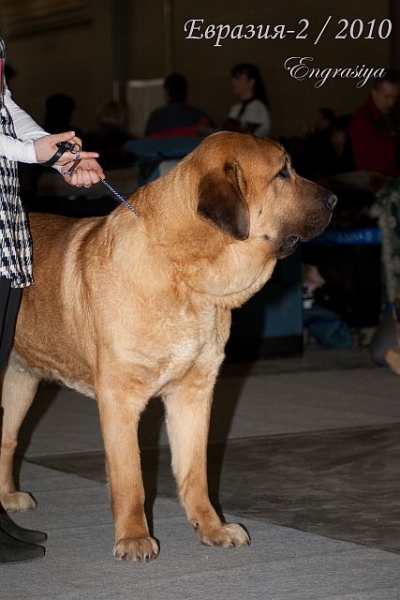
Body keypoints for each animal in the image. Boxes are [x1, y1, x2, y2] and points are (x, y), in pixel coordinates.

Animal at [0, 132, 336, 564]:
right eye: (283, 172)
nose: (334, 199)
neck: (182, 271)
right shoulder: (119, 398)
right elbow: (129, 477)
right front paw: (134, 538)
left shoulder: (193, 393)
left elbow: (195, 472)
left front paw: (212, 529)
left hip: (21, 382)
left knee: (7, 439)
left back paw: (9, 498)